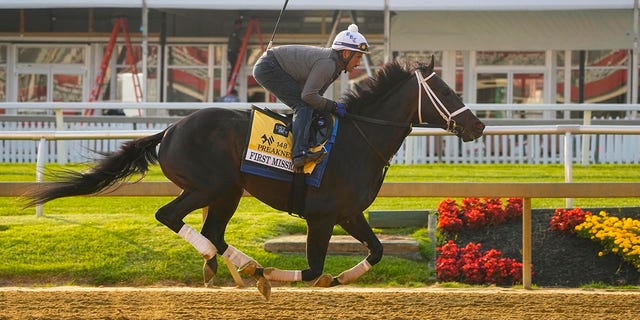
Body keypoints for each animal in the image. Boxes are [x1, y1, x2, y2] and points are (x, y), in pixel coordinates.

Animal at [26, 58, 484, 300]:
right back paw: (235, 266)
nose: (478, 126)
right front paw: (279, 277)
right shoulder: (321, 217)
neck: (358, 138)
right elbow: (311, 267)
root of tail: (170, 130)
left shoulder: (349, 214)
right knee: (171, 217)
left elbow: (376, 251)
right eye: (446, 92)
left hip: (227, 192)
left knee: (213, 231)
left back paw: (237, 266)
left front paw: (339, 278)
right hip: (209, 186)